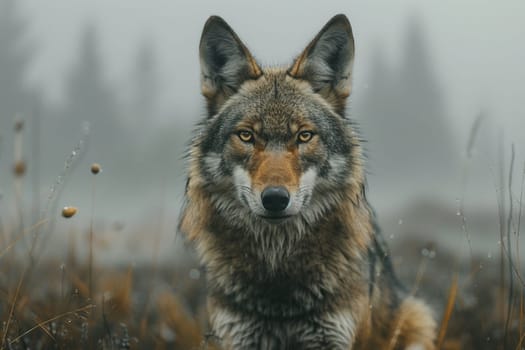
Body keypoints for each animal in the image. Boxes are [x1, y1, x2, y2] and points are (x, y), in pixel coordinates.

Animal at [178, 13, 436, 350]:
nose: (275, 198)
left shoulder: (332, 337)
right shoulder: (240, 337)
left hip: (418, 319)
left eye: (304, 136)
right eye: (246, 136)